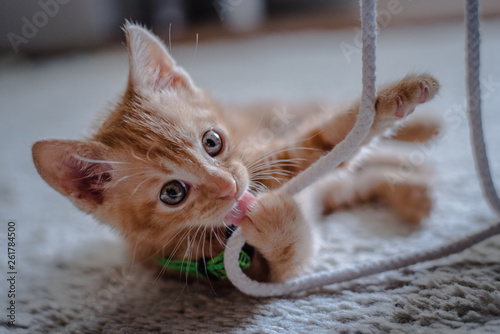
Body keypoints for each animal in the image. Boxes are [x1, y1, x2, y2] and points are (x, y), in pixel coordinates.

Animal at [31, 23, 440, 284]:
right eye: (172, 193)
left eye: (212, 142)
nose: (229, 187)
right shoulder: (256, 273)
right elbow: (293, 255)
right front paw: (273, 220)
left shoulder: (265, 159)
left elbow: (336, 136)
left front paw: (395, 98)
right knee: (359, 177)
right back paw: (414, 189)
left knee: (326, 120)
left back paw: (427, 131)